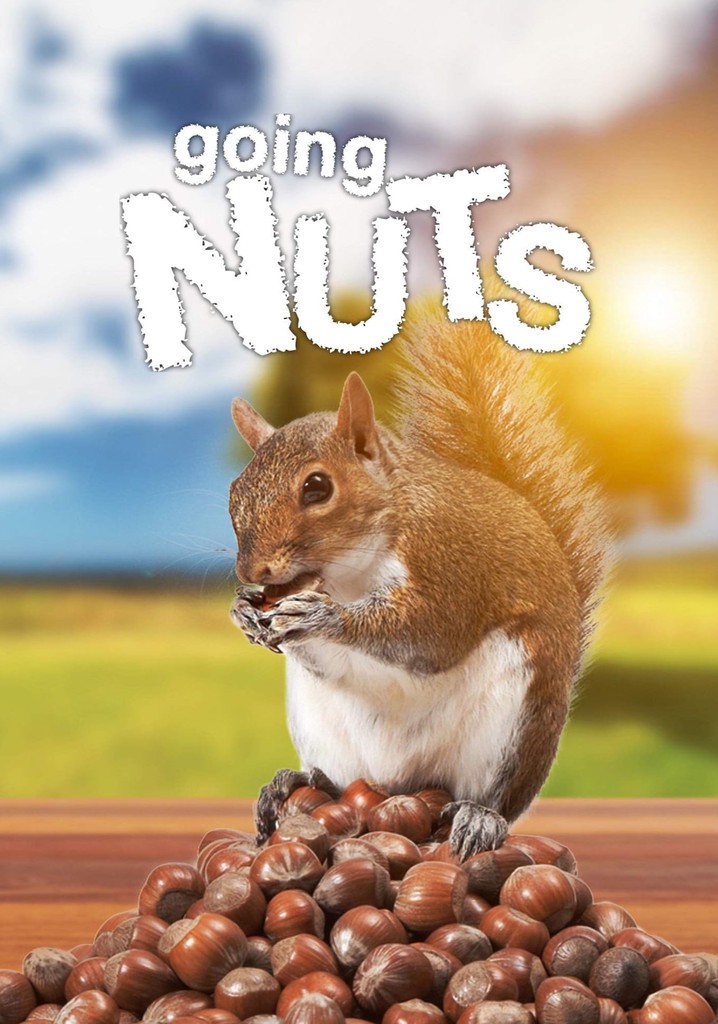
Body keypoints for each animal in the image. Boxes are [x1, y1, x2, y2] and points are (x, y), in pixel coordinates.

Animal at [228, 316, 611, 857]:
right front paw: (244, 612)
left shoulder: (450, 562)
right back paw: (295, 784)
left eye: (317, 487)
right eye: (235, 491)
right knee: (339, 783)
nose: (251, 572)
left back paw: (478, 818)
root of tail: (398, 784)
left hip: (513, 726)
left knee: (494, 797)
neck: (347, 573)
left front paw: (322, 617)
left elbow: (428, 635)